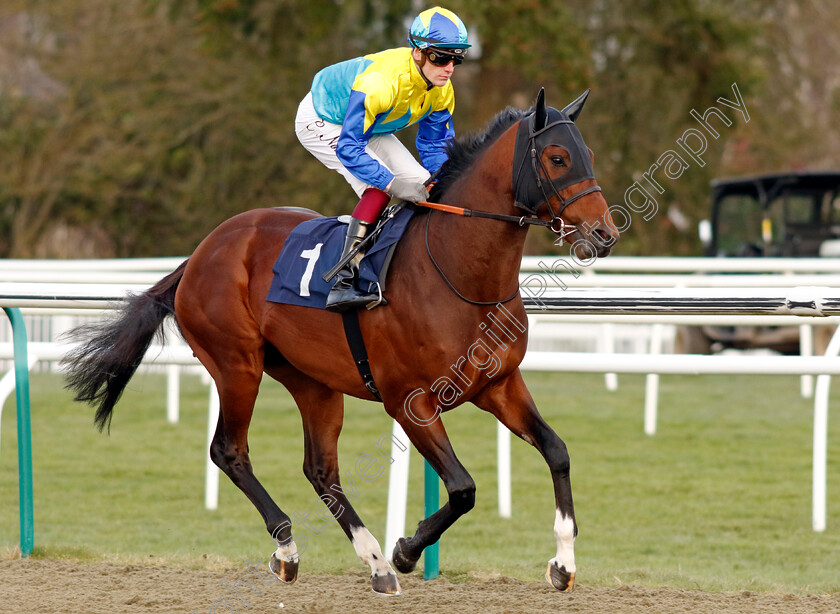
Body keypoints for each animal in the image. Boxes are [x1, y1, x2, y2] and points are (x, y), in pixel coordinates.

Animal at [64, 88, 616, 596]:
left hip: (312, 381)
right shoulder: (410, 401)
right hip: (237, 365)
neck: (457, 273)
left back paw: (373, 561)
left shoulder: (499, 384)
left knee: (320, 468)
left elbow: (557, 451)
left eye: (587, 153)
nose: (604, 234)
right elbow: (463, 488)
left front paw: (563, 562)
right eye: (558, 158)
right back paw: (292, 549)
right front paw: (407, 550)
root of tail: (201, 252)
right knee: (230, 451)